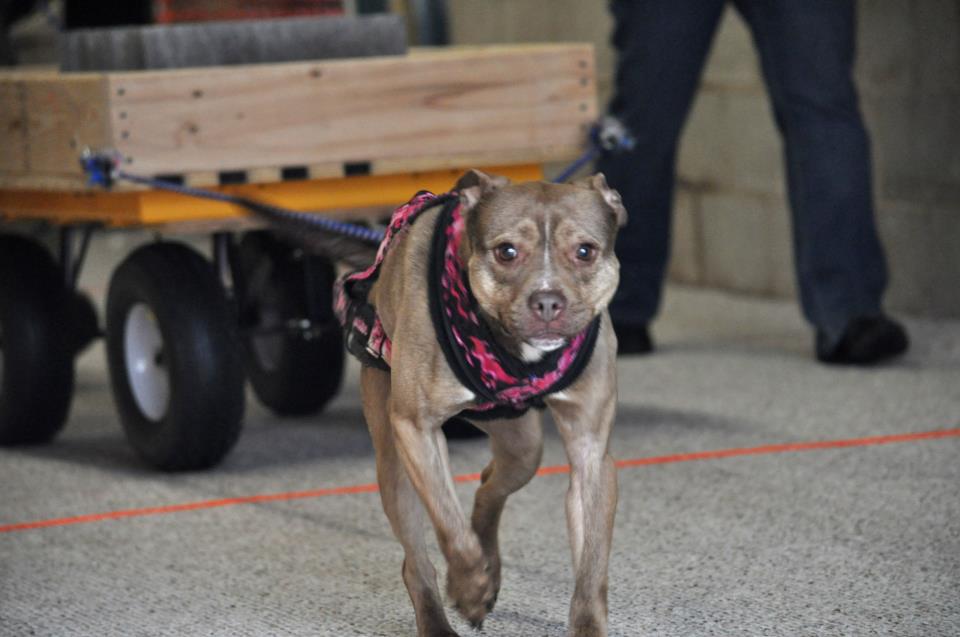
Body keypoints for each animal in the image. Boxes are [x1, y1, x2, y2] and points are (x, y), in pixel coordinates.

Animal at [352, 169, 624, 636]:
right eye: (507, 251)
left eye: (585, 252)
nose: (547, 300)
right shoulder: (416, 428)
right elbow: (448, 523)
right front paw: (468, 588)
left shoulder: (591, 452)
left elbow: (591, 567)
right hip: (394, 464)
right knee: (417, 561)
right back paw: (442, 616)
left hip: (522, 446)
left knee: (487, 487)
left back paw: (489, 565)